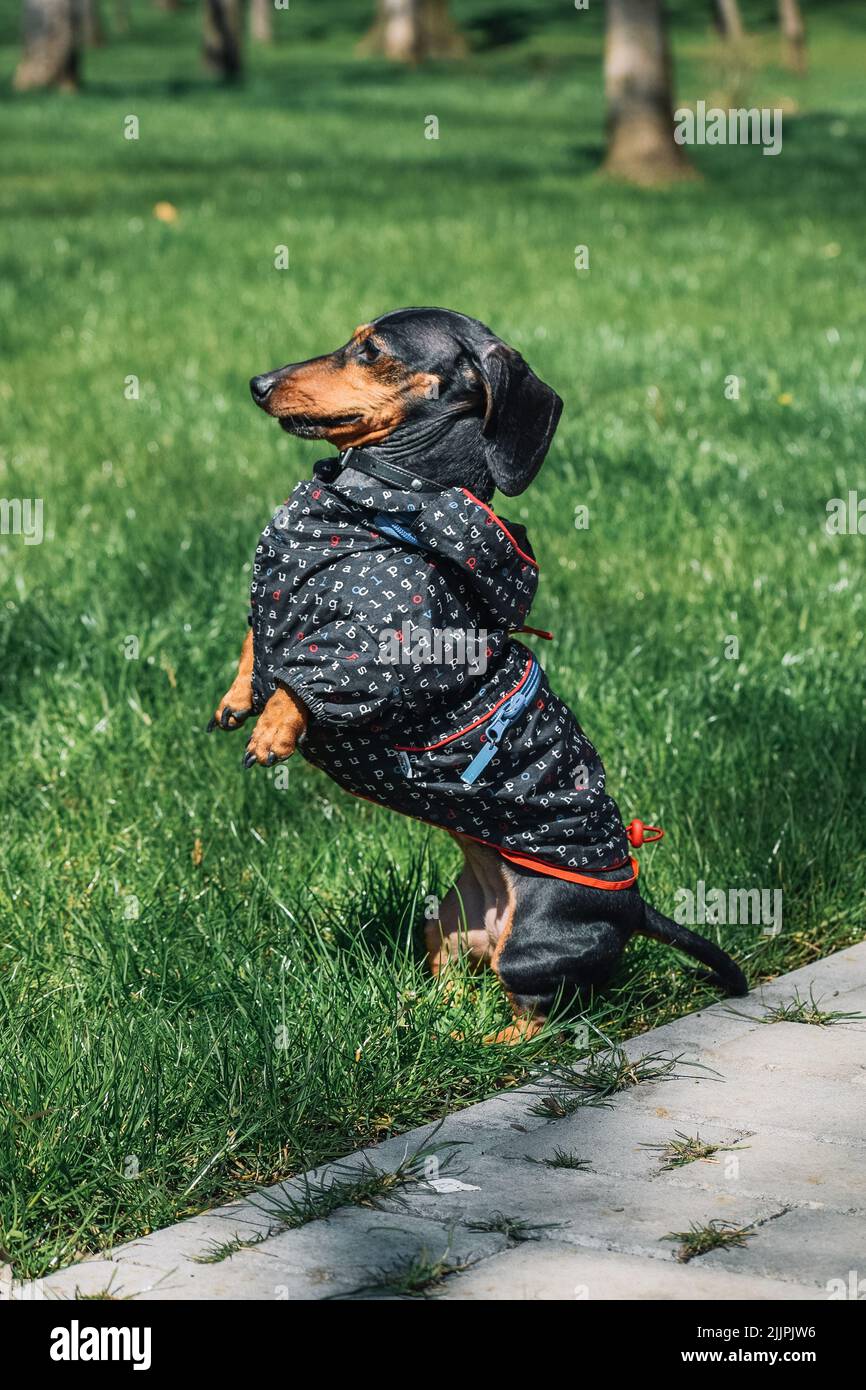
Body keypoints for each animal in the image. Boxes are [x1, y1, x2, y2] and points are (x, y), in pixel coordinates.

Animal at [207, 307, 750, 1045]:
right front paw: (240, 696)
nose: (257, 384)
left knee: (543, 1015)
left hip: (532, 945)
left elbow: (319, 672)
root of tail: (635, 906)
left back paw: (485, 1042)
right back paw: (421, 1013)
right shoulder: (279, 600)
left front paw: (275, 728)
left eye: (372, 350)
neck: (377, 504)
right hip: (449, 919)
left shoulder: (385, 642)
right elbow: (259, 639)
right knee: (453, 975)